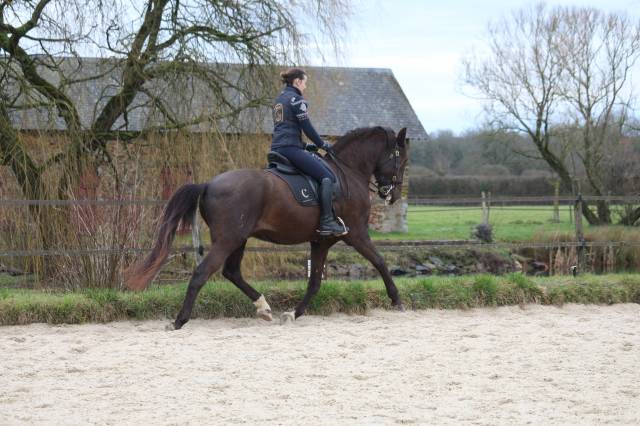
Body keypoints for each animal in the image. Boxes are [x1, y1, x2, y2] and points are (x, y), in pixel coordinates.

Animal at [125, 126, 410, 329]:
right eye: (403, 161)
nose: (392, 195)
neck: (348, 172)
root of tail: (208, 184)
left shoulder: (321, 242)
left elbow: (314, 282)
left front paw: (293, 314)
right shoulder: (357, 234)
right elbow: (380, 261)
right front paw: (397, 300)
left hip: (238, 239)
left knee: (232, 273)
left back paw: (263, 307)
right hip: (229, 239)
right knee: (202, 273)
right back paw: (180, 320)